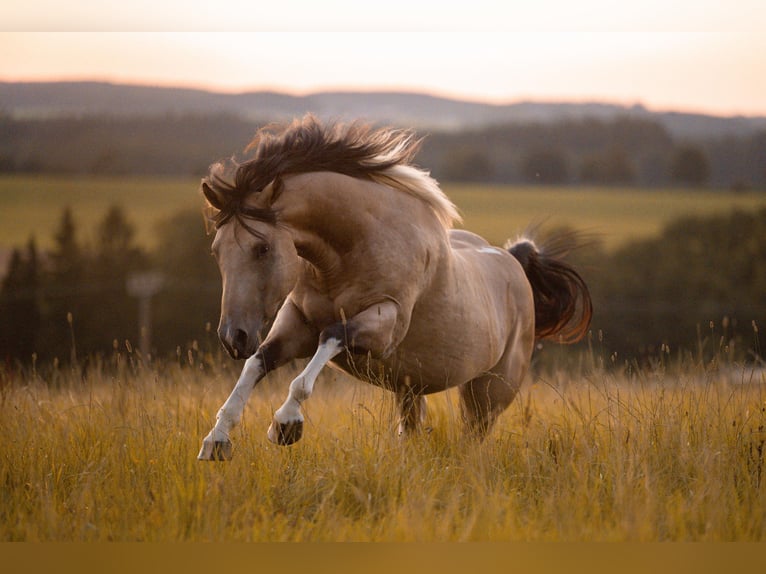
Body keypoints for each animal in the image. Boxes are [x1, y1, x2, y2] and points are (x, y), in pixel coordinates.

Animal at [197, 114, 592, 460]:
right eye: (216, 250)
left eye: (262, 248)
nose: (233, 337)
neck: (348, 255)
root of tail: (514, 260)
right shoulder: (295, 323)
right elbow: (257, 363)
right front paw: (216, 440)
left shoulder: (383, 326)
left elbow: (330, 337)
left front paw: (286, 425)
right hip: (410, 389)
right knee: (411, 429)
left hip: (488, 393)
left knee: (473, 437)